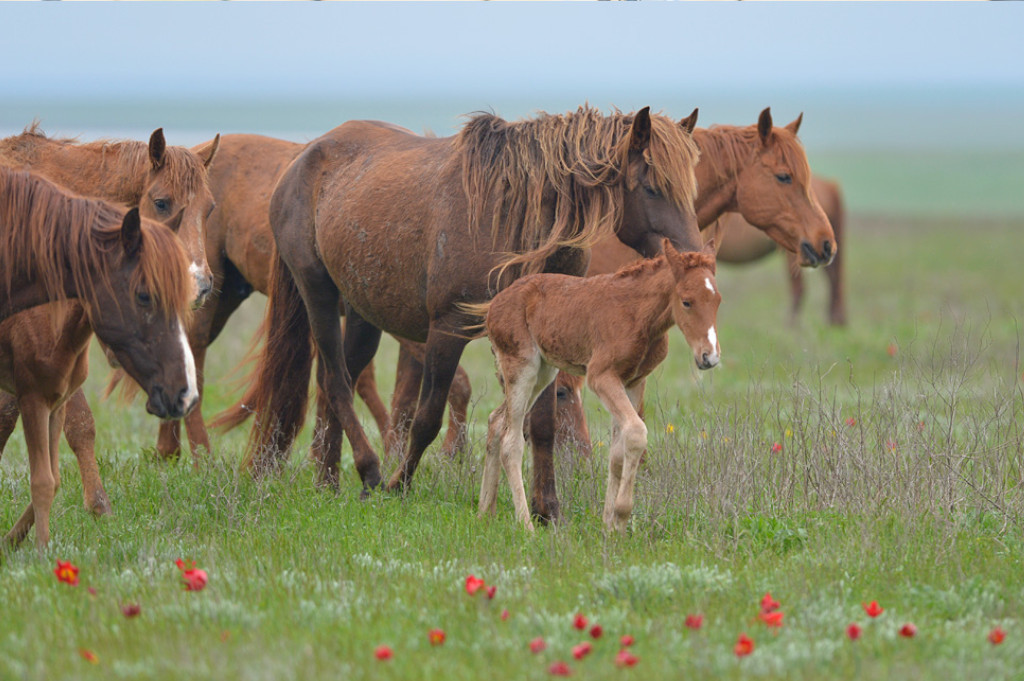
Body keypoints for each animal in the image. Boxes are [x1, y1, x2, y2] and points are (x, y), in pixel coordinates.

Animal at [223, 106, 704, 507]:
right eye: (651, 188)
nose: (692, 258)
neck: (514, 217)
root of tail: (302, 158)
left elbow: (541, 424)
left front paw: (548, 509)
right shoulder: (447, 329)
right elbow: (428, 416)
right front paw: (400, 487)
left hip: (362, 312)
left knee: (333, 382)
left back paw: (330, 481)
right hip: (318, 292)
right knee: (337, 380)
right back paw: (371, 472)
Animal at [477, 238, 724, 532]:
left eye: (717, 301)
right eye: (686, 301)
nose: (709, 357)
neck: (637, 314)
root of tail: (493, 307)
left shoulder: (633, 382)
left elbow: (617, 453)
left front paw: (609, 527)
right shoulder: (601, 376)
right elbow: (636, 433)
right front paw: (621, 514)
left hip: (544, 371)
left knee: (495, 420)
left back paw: (485, 512)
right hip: (522, 367)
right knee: (511, 441)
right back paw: (526, 525)